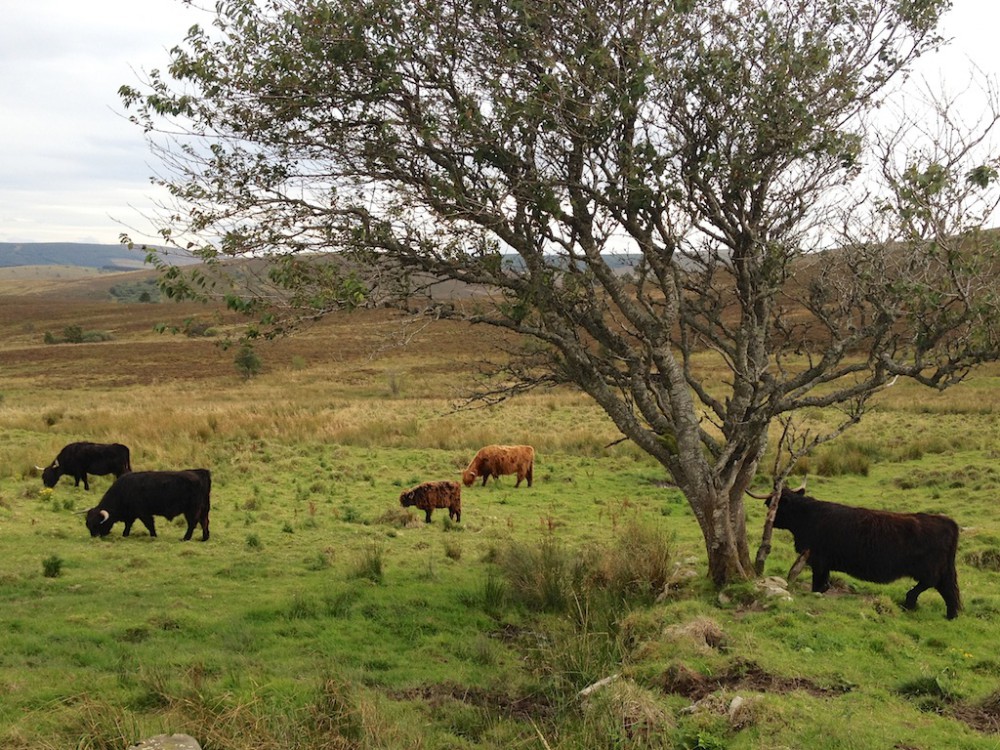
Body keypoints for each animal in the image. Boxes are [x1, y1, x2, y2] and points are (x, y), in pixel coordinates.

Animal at [764, 490, 960, 620]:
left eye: (777, 503)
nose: (767, 515)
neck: (808, 516)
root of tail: (946, 521)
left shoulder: (818, 559)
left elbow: (817, 584)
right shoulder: (822, 562)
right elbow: (823, 583)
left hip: (930, 570)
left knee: (930, 584)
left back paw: (909, 602)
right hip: (945, 570)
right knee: (950, 591)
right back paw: (951, 616)